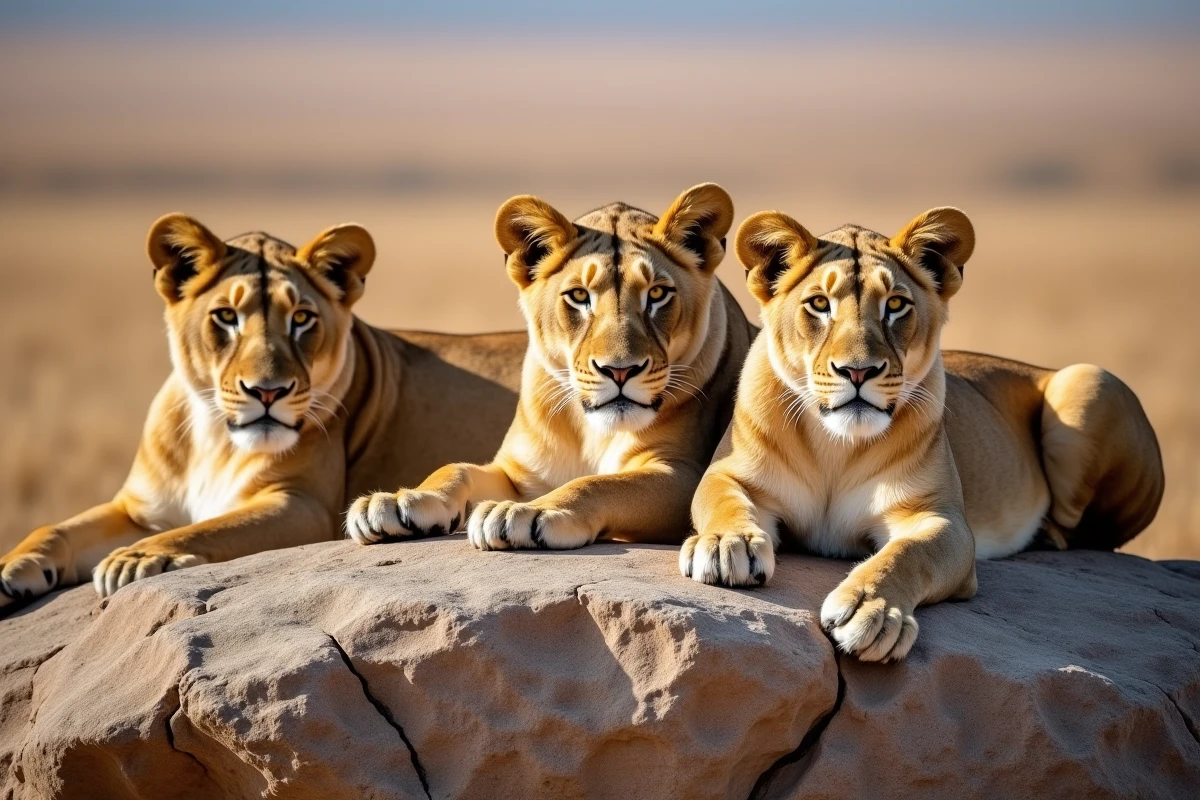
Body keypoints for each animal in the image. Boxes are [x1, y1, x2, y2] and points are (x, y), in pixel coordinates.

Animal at [0, 214, 526, 608]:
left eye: (302, 319)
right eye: (225, 317)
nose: (267, 392)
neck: (214, 436)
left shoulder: (302, 504)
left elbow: (209, 526)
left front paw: (138, 559)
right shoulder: (139, 507)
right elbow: (55, 526)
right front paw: (11, 568)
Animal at [346, 184, 755, 550]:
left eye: (656, 294)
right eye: (579, 296)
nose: (620, 371)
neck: (589, 431)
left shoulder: (682, 474)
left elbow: (599, 484)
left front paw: (527, 513)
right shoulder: (521, 473)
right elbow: (455, 468)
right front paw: (397, 502)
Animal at [681, 207, 1164, 662]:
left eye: (895, 305)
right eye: (819, 304)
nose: (858, 371)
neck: (836, 447)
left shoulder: (941, 518)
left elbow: (908, 554)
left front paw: (871, 612)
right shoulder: (730, 473)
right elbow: (721, 500)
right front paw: (726, 545)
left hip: (1089, 379)